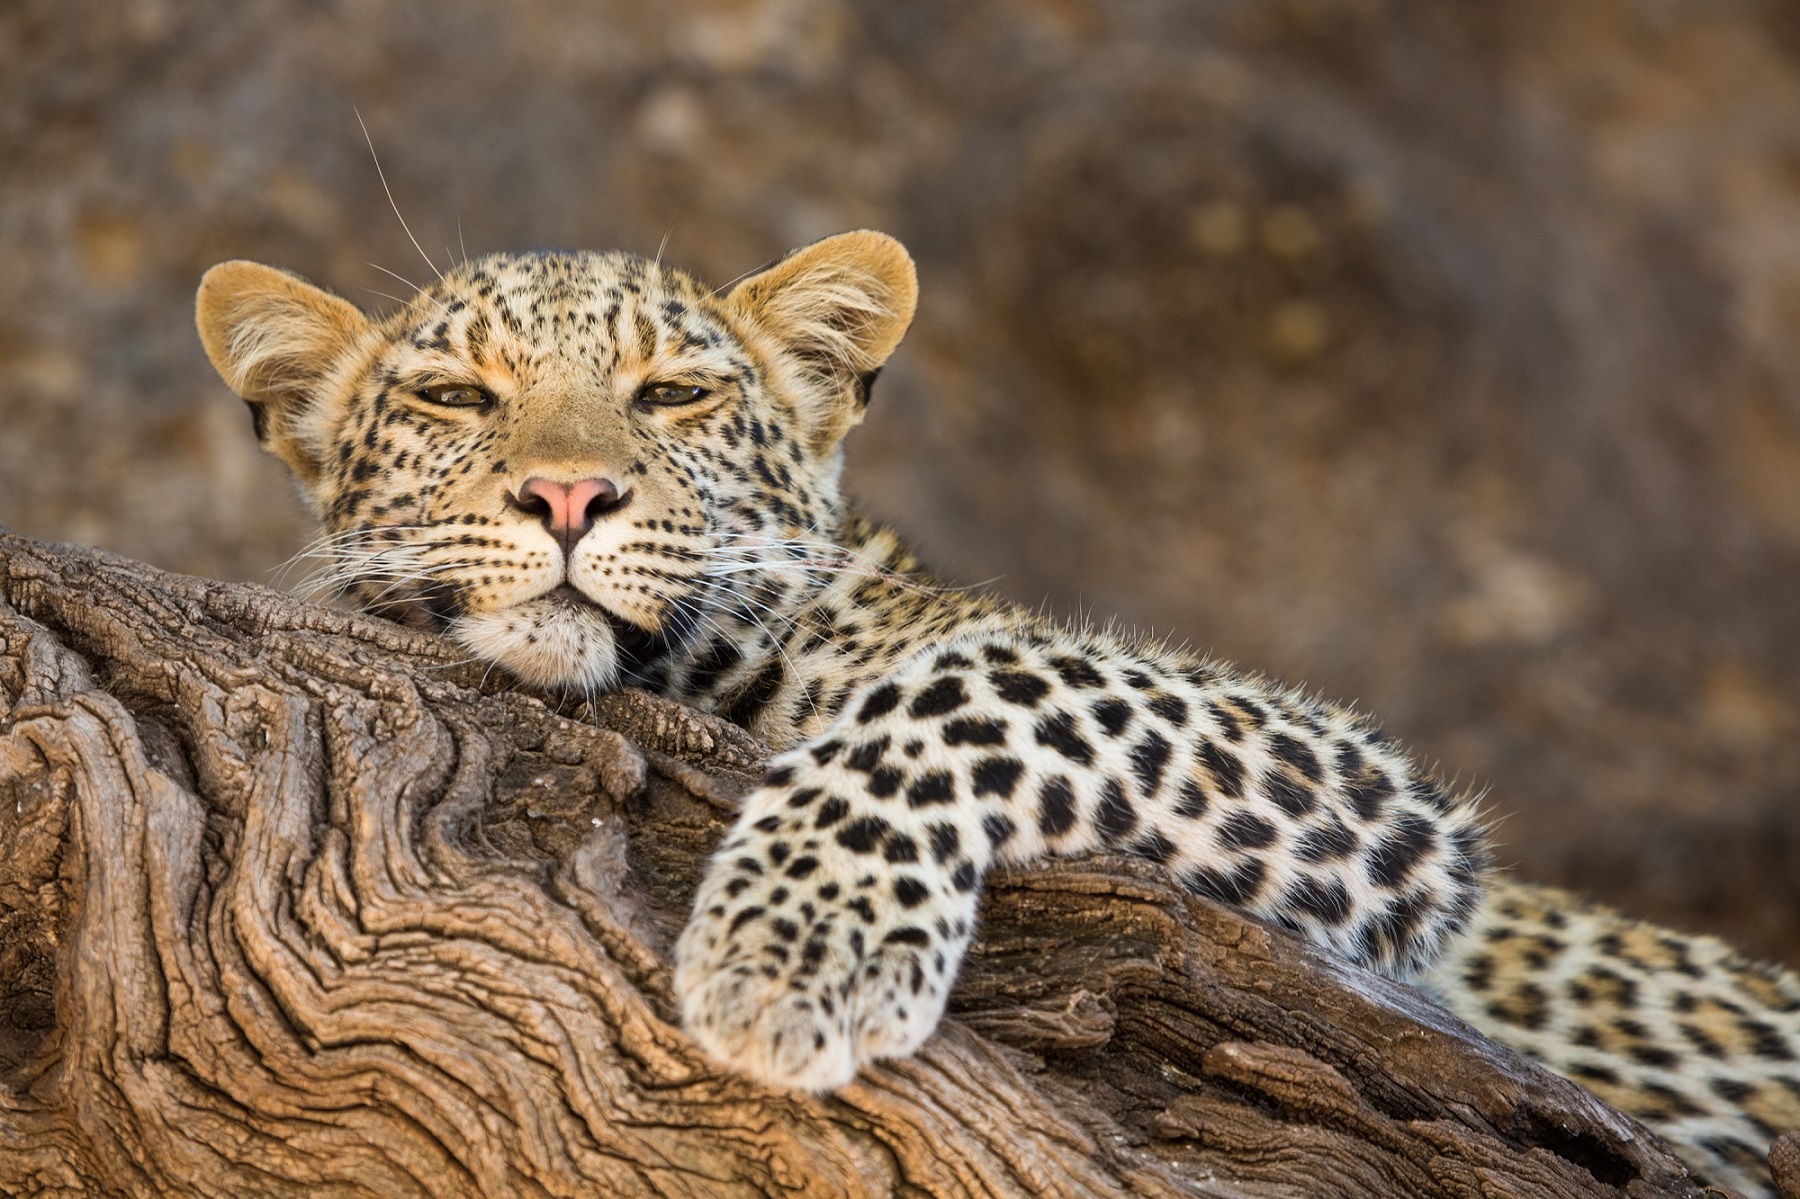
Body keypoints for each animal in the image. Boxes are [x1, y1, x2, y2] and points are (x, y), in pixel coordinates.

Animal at [195, 230, 1800, 1197]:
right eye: (457, 398)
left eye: (676, 393)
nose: (570, 494)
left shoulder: (1375, 806)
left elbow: (990, 683)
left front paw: (794, 950)